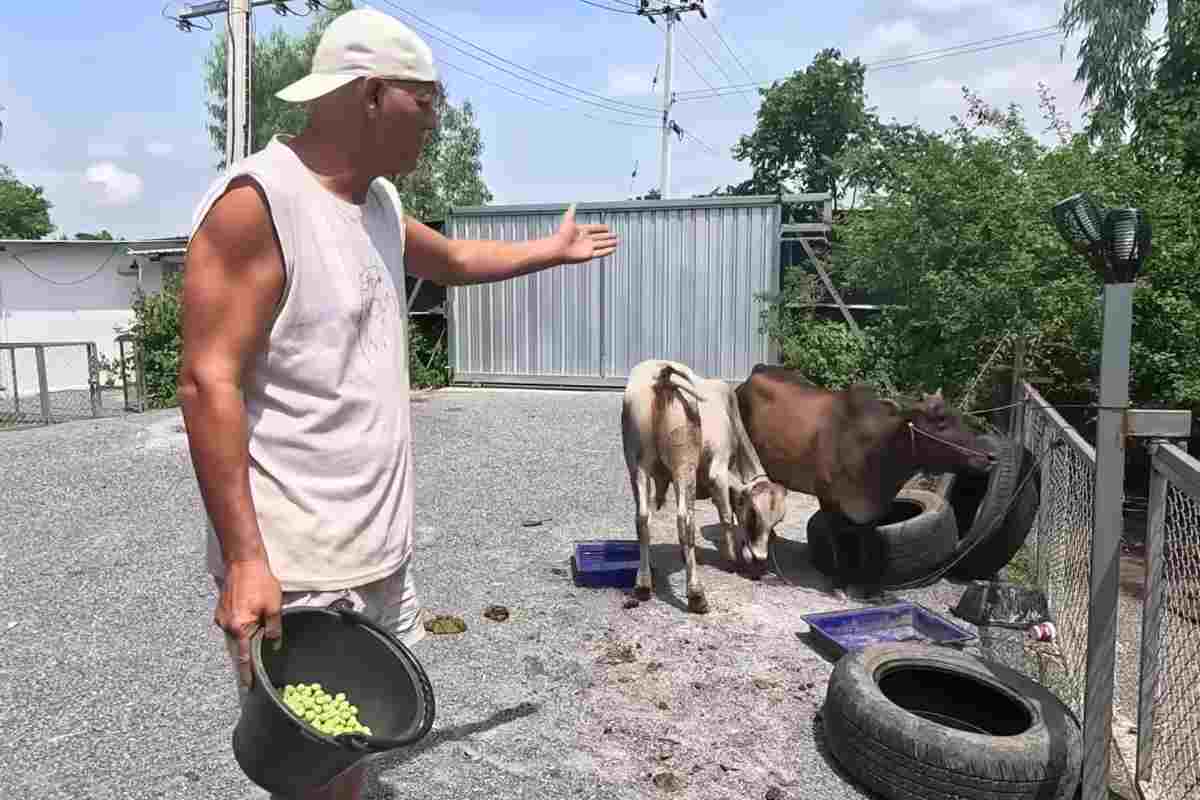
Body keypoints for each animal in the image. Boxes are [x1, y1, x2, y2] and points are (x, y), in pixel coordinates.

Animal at [734, 367, 998, 592]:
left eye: (960, 417)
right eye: (940, 420)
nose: (990, 456)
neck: (872, 450)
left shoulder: (874, 505)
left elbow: (867, 540)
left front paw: (866, 585)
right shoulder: (828, 497)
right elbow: (839, 538)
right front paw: (840, 582)